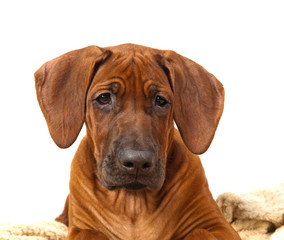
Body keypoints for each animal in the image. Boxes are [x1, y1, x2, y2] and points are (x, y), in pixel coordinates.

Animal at [35, 44, 240, 240]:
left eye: (160, 100)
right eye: (104, 98)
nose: (137, 162)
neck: (133, 202)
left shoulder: (220, 226)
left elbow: (199, 233)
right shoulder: (80, 229)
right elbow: (91, 234)